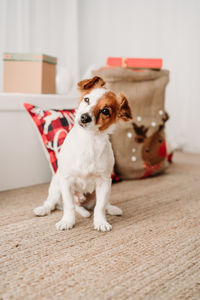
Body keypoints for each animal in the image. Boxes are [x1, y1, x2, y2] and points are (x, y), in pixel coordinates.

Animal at [33, 77, 132, 232]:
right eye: (87, 99)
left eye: (105, 111)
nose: (84, 117)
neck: (88, 140)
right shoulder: (66, 180)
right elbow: (69, 206)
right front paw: (67, 221)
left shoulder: (104, 182)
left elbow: (100, 207)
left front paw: (100, 221)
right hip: (56, 185)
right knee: (54, 202)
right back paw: (43, 209)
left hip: (104, 190)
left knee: (102, 204)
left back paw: (111, 209)